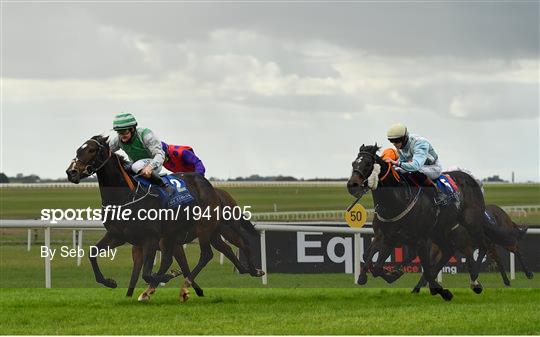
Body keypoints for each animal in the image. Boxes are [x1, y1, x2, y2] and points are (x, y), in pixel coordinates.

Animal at [67, 134, 224, 296]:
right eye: (78, 150)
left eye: (91, 150)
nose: (71, 172)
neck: (125, 197)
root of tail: (204, 181)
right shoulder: (117, 235)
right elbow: (92, 253)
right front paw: (109, 282)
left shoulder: (150, 238)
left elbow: (147, 274)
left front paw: (167, 276)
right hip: (173, 234)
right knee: (172, 259)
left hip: (203, 227)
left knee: (205, 255)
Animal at [346, 144, 490, 300]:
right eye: (353, 163)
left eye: (368, 164)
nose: (352, 185)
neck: (397, 200)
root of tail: (471, 178)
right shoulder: (387, 235)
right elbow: (374, 263)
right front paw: (374, 276)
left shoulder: (419, 239)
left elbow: (424, 267)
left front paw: (442, 291)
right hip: (439, 231)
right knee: (448, 250)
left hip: (471, 223)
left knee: (482, 246)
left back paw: (475, 280)